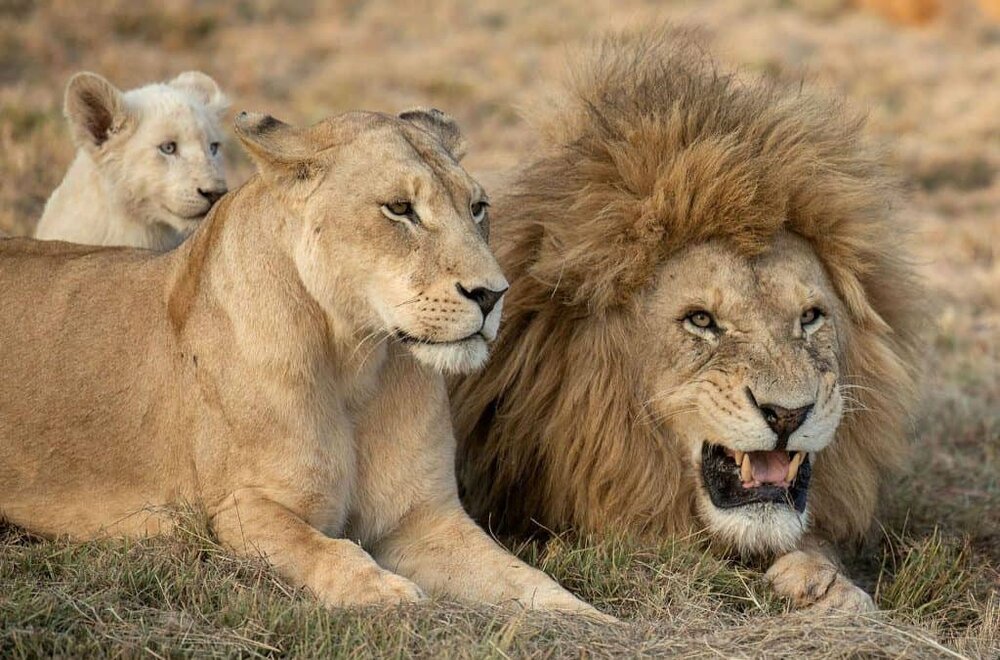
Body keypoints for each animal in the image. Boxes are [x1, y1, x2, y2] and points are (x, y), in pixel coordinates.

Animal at [0, 107, 602, 617]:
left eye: (477, 207)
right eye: (400, 209)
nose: (493, 294)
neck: (357, 363)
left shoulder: (425, 519)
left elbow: (526, 579)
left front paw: (590, 620)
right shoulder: (240, 508)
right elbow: (329, 551)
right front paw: (391, 596)